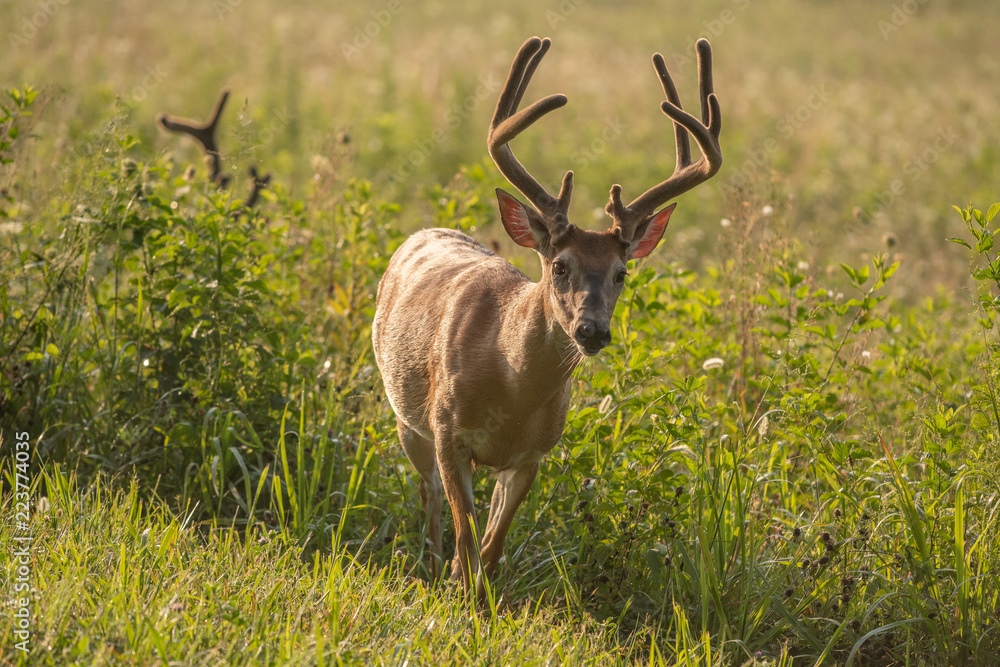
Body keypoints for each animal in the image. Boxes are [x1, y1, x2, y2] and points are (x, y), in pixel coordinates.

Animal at [372, 36, 722, 598]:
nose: (592, 330)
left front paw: (479, 598)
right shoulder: (447, 433)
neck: (508, 385)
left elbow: (492, 546)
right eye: (561, 265)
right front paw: (456, 593)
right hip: (407, 420)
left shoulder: (533, 456)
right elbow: (466, 535)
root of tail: (425, 231)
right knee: (429, 503)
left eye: (622, 272)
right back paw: (430, 568)